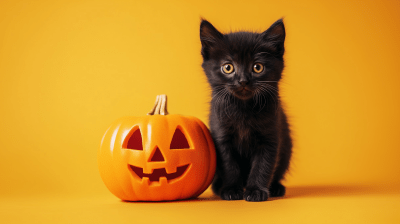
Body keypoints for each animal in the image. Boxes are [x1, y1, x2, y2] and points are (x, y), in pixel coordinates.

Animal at [202, 18, 292, 201]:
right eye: (228, 67)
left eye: (257, 67)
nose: (243, 80)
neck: (243, 109)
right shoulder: (222, 137)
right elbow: (229, 165)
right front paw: (231, 190)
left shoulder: (270, 137)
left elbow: (263, 165)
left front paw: (256, 191)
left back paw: (276, 188)